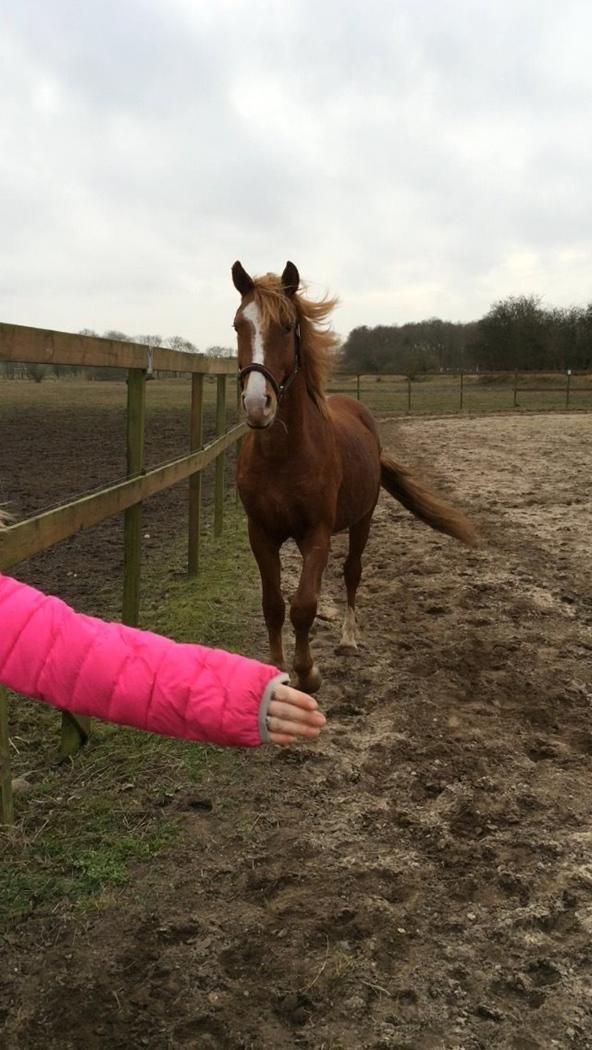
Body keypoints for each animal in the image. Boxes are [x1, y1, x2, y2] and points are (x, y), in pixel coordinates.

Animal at [231, 259, 476, 692]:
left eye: (287, 326)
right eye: (237, 325)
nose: (258, 405)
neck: (281, 456)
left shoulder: (317, 533)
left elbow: (304, 605)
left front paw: (308, 672)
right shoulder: (261, 533)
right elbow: (273, 605)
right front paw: (278, 670)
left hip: (363, 519)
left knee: (352, 573)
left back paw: (348, 638)